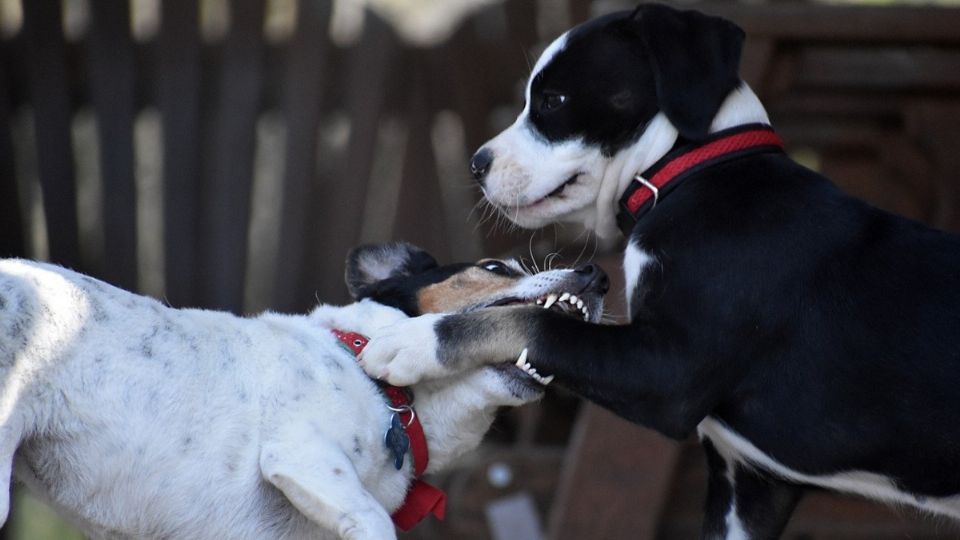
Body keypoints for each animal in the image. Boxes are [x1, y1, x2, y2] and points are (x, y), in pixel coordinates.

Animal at [360, 5, 960, 540]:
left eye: (554, 101)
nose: (476, 165)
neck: (693, 174)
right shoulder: (749, 487)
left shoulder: (667, 373)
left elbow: (537, 322)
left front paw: (412, 341)